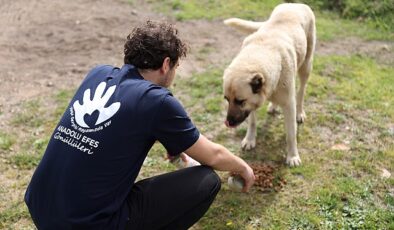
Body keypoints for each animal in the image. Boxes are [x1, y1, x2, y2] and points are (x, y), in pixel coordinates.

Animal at [223, 2, 316, 166]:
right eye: (226, 99)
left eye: (240, 101)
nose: (228, 122)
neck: (263, 49)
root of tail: (295, 4)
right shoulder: (252, 105)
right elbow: (252, 122)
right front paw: (250, 140)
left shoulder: (288, 105)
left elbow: (291, 134)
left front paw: (292, 156)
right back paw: (273, 105)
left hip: (306, 67)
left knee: (301, 92)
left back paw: (300, 113)